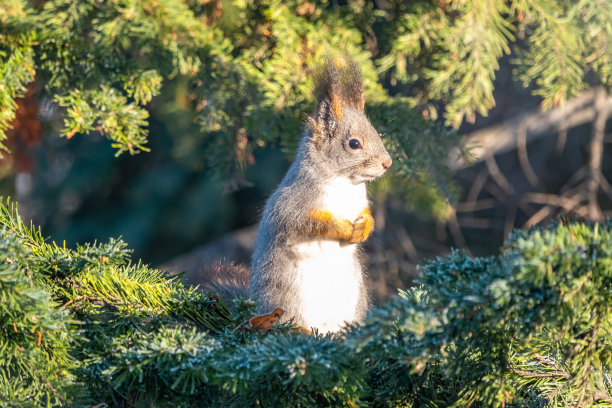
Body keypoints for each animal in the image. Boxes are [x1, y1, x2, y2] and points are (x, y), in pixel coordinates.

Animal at [247, 56, 392, 332]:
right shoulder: (293, 203)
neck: (345, 184)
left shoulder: (360, 203)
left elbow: (367, 216)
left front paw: (363, 227)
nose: (387, 163)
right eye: (354, 143)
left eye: (378, 134)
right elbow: (308, 222)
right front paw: (342, 228)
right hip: (285, 293)